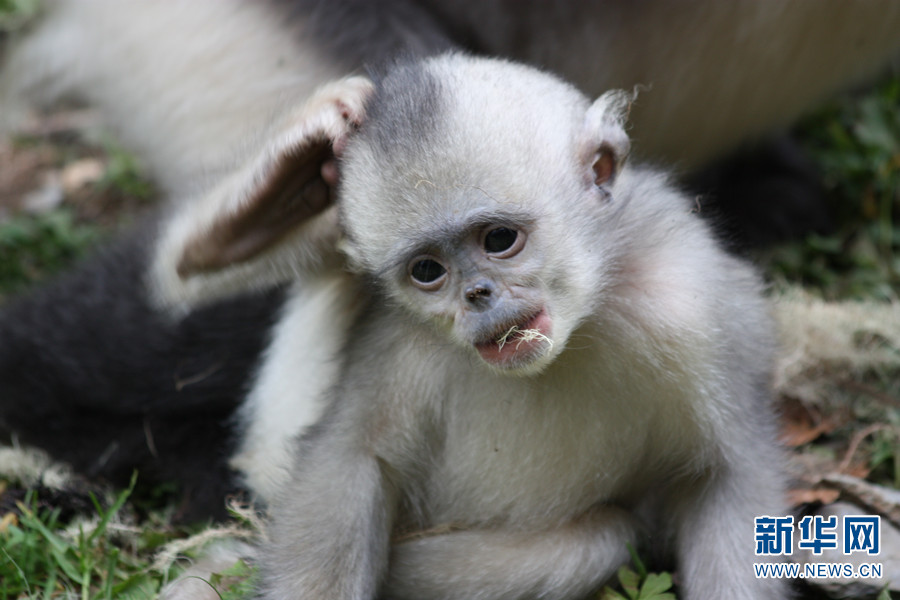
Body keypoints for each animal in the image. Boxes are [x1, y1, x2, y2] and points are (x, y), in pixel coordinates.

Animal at [150, 53, 788, 599]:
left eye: (499, 239)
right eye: (428, 271)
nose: (478, 296)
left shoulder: (693, 306)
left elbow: (730, 474)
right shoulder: (398, 334)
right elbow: (350, 459)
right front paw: (293, 161)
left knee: (601, 541)